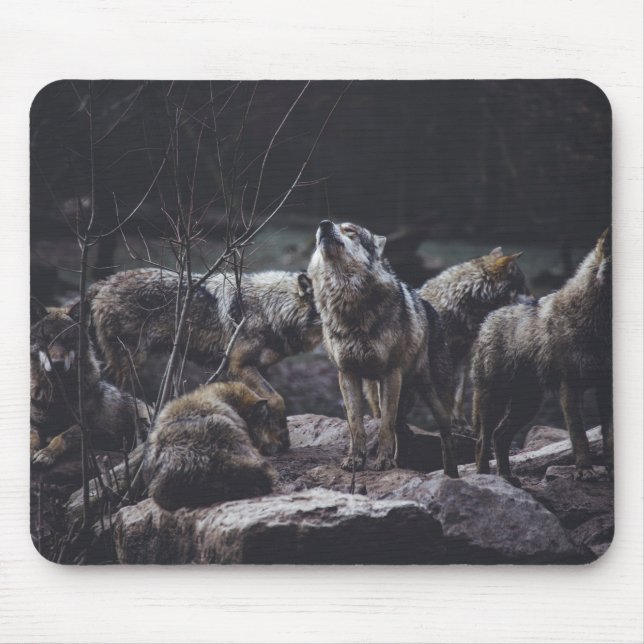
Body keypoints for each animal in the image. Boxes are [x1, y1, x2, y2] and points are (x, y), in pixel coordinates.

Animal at [30, 298, 150, 467]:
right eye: (46, 339)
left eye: (69, 340)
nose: (57, 364)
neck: (57, 396)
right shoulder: (33, 421)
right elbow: (32, 436)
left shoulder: (94, 428)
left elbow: (62, 436)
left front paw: (46, 453)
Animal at [87, 268, 322, 450]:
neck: (270, 308)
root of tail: (104, 282)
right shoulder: (239, 365)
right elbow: (277, 399)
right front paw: (282, 439)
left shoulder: (259, 368)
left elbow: (263, 405)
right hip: (131, 362)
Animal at [307, 220, 458, 475]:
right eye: (329, 225)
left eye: (350, 230)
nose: (324, 224)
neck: (348, 305)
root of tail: (429, 307)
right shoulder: (347, 374)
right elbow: (356, 425)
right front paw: (355, 460)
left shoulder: (390, 373)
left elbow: (385, 426)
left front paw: (384, 462)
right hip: (379, 394)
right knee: (401, 428)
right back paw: (401, 461)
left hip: (434, 399)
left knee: (445, 436)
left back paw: (451, 475)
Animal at [417, 247, 530, 430]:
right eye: (523, 285)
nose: (535, 299)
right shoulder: (445, 355)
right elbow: (447, 394)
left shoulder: (463, 355)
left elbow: (459, 394)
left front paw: (461, 423)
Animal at [471, 228, 612, 485]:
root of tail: (487, 319)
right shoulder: (570, 387)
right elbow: (579, 435)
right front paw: (584, 471)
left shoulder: (605, 387)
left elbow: (610, 437)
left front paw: (612, 472)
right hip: (495, 401)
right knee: (482, 440)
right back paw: (487, 479)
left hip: (527, 405)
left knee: (499, 436)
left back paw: (506, 477)